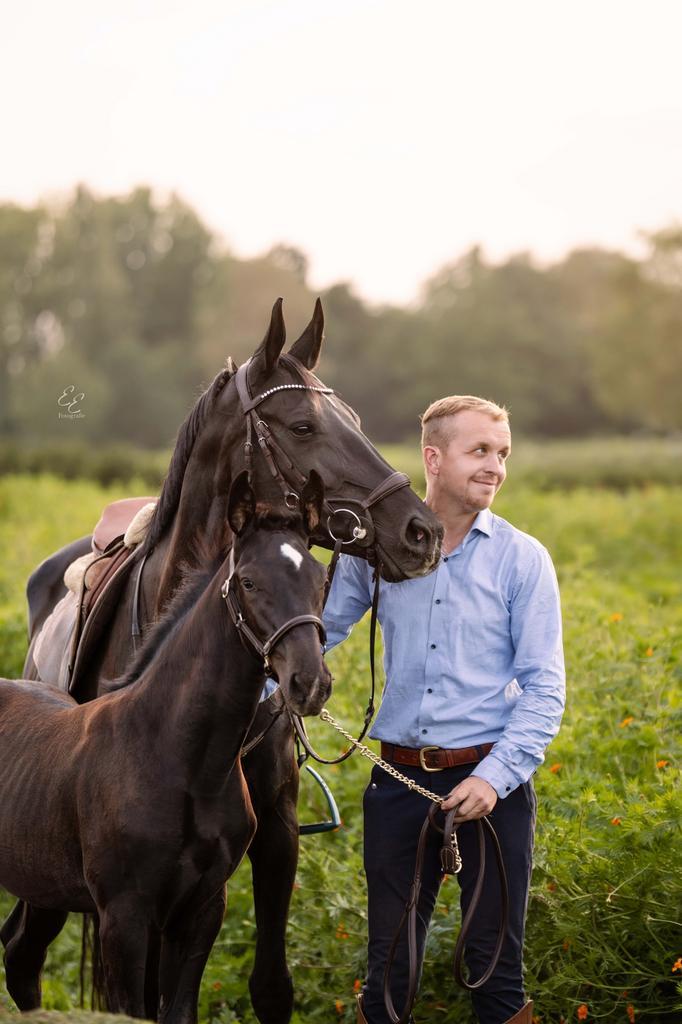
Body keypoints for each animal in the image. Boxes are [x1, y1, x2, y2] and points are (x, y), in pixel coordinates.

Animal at [0, 472, 330, 1024]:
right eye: (249, 582)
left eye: (321, 579)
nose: (310, 683)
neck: (180, 759)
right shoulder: (125, 917)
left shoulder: (201, 911)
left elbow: (178, 1010)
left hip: (43, 883)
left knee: (21, 955)